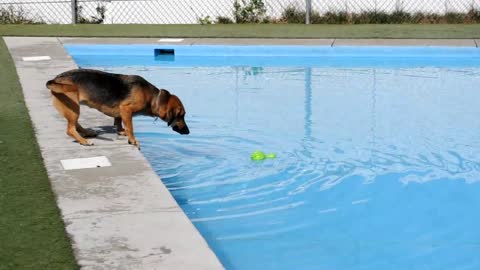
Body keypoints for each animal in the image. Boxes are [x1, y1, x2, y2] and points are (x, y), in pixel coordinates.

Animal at [46, 68, 189, 148]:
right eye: (181, 116)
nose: (188, 132)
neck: (154, 98)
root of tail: (56, 79)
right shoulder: (126, 109)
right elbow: (130, 127)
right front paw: (132, 140)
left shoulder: (121, 111)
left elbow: (118, 121)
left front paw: (121, 131)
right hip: (73, 107)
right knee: (70, 129)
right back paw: (84, 141)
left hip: (73, 108)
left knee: (75, 124)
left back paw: (87, 132)